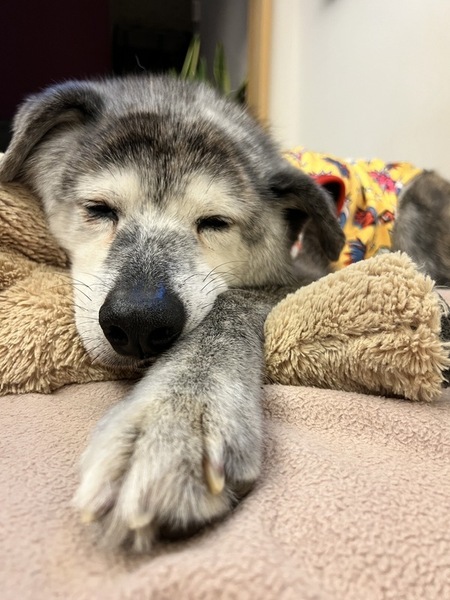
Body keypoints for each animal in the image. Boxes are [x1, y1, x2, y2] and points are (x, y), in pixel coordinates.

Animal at [0, 74, 448, 552]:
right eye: (98, 209)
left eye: (215, 222)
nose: (139, 323)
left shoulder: (300, 276)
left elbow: (228, 309)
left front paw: (176, 415)